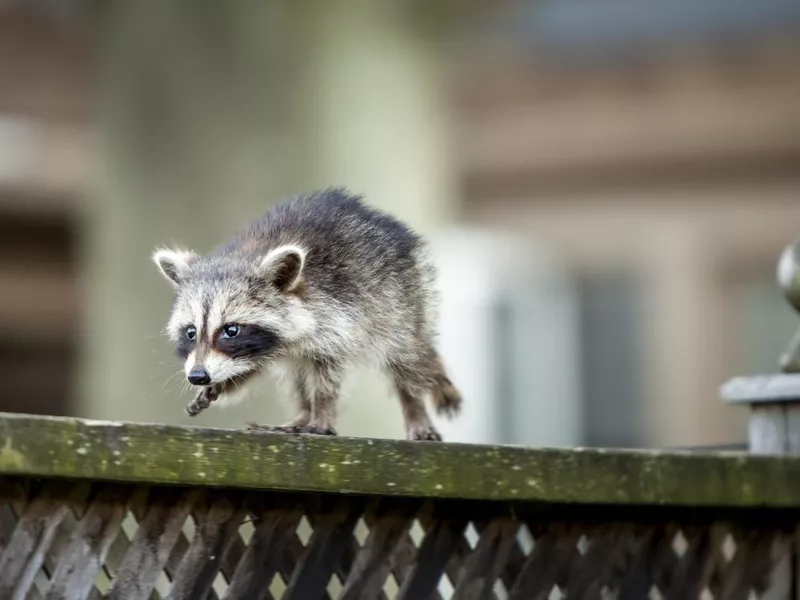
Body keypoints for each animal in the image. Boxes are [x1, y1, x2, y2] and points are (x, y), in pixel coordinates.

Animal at [152, 188, 460, 440]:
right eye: (191, 332)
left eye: (231, 330)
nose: (198, 376)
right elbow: (252, 368)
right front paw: (225, 383)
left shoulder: (338, 316)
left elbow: (328, 373)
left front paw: (322, 412)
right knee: (297, 377)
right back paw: (301, 414)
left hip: (403, 300)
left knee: (407, 359)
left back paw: (413, 407)